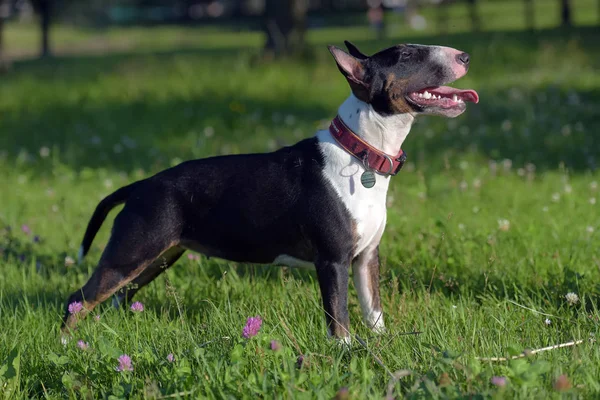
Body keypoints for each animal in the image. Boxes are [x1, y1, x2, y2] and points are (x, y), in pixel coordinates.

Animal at [62, 40, 478, 342]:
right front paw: (346, 355)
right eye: (407, 55)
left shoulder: (366, 258)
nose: (465, 56)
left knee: (118, 298)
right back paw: (69, 346)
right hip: (132, 252)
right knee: (78, 299)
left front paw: (382, 346)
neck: (361, 154)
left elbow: (373, 311)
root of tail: (140, 186)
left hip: (157, 257)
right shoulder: (333, 261)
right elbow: (339, 317)